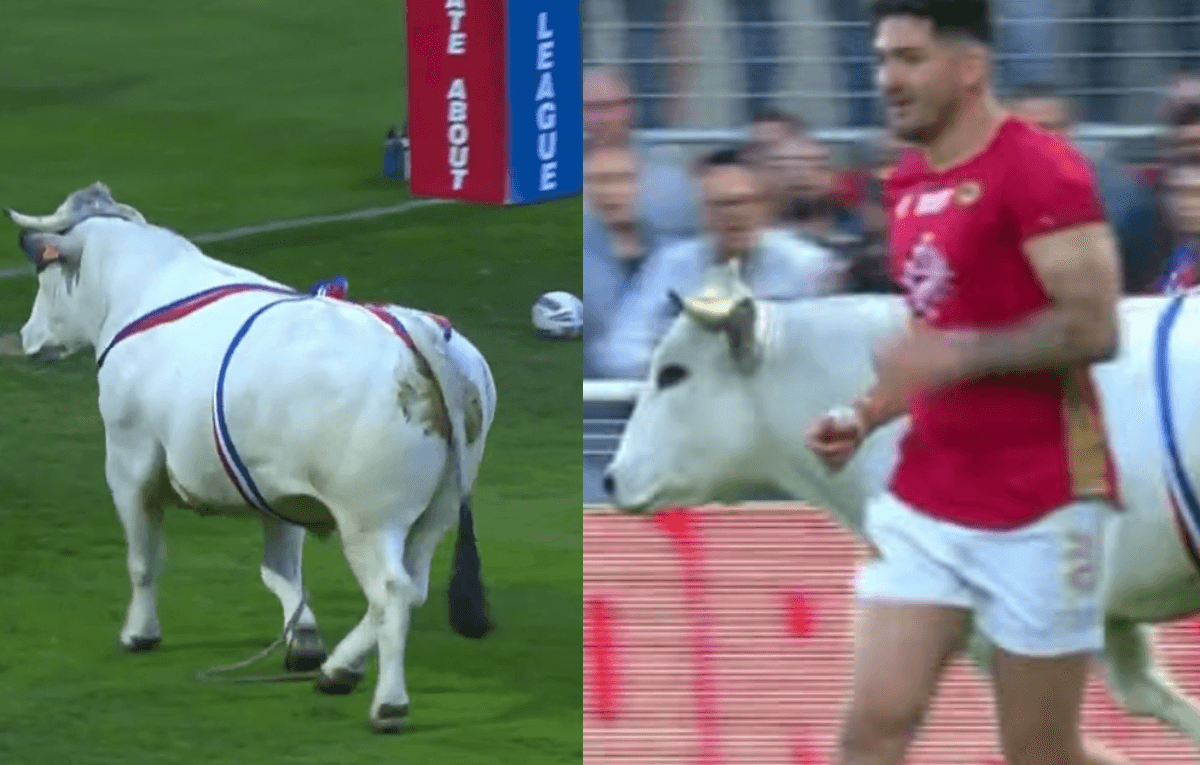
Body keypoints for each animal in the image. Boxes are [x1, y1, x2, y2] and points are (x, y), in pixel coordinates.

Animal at [10, 182, 496, 733]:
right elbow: (282, 572)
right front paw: (303, 641)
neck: (144, 287)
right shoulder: (275, 486)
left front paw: (140, 633)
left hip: (369, 521)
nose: (25, 338)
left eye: (42, 274)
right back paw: (338, 669)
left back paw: (387, 704)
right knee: (412, 588)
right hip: (436, 512)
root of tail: (422, 334)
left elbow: (144, 559)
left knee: (391, 593)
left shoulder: (129, 461)